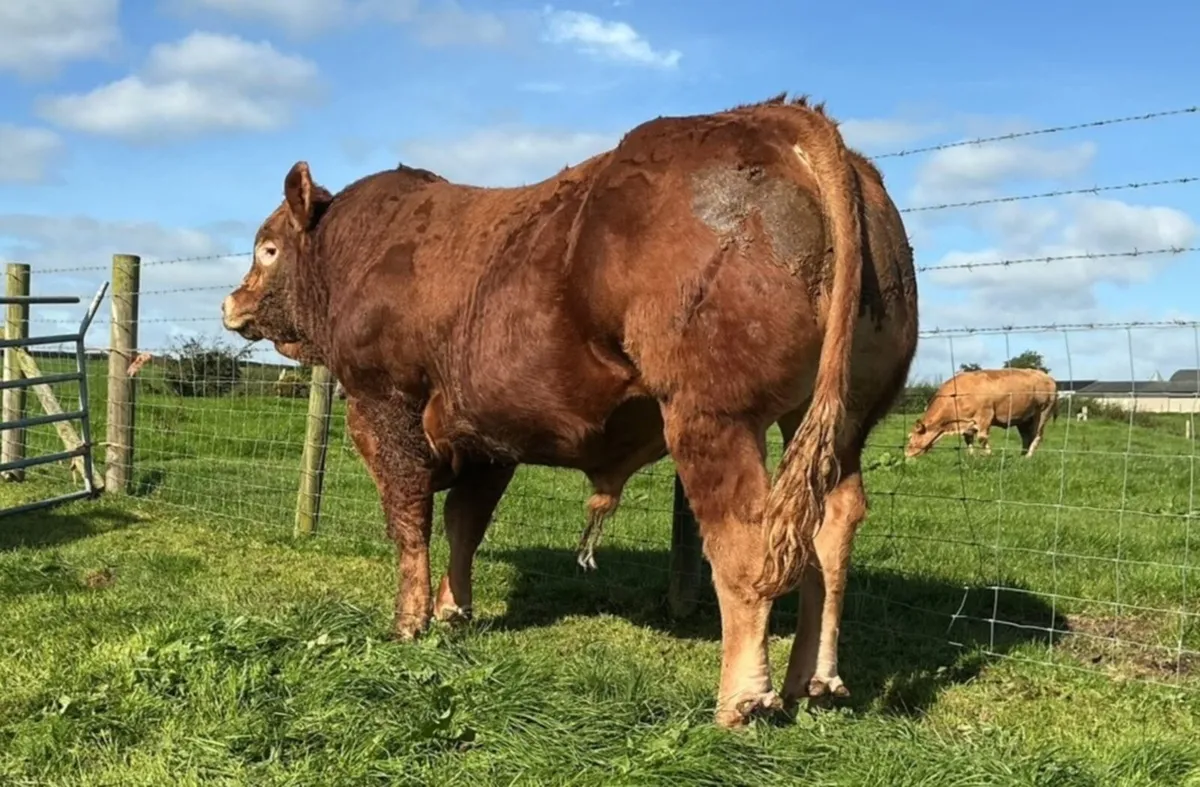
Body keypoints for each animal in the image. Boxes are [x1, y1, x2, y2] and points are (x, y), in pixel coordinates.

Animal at [221, 93, 919, 728]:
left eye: (267, 249)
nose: (232, 303)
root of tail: (779, 116)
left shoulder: (383, 403)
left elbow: (410, 518)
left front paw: (409, 622)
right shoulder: (486, 434)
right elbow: (465, 523)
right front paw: (453, 612)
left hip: (712, 413)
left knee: (746, 536)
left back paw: (742, 699)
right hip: (839, 418)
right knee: (831, 527)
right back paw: (813, 679)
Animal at [905, 368, 1058, 459]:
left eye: (911, 437)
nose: (906, 454)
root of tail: (1048, 378)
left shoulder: (985, 415)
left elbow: (982, 438)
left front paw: (988, 455)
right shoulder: (967, 422)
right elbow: (968, 439)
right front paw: (971, 456)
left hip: (1043, 412)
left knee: (1036, 436)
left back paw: (1028, 457)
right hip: (1024, 419)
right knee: (1026, 437)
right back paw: (1021, 456)